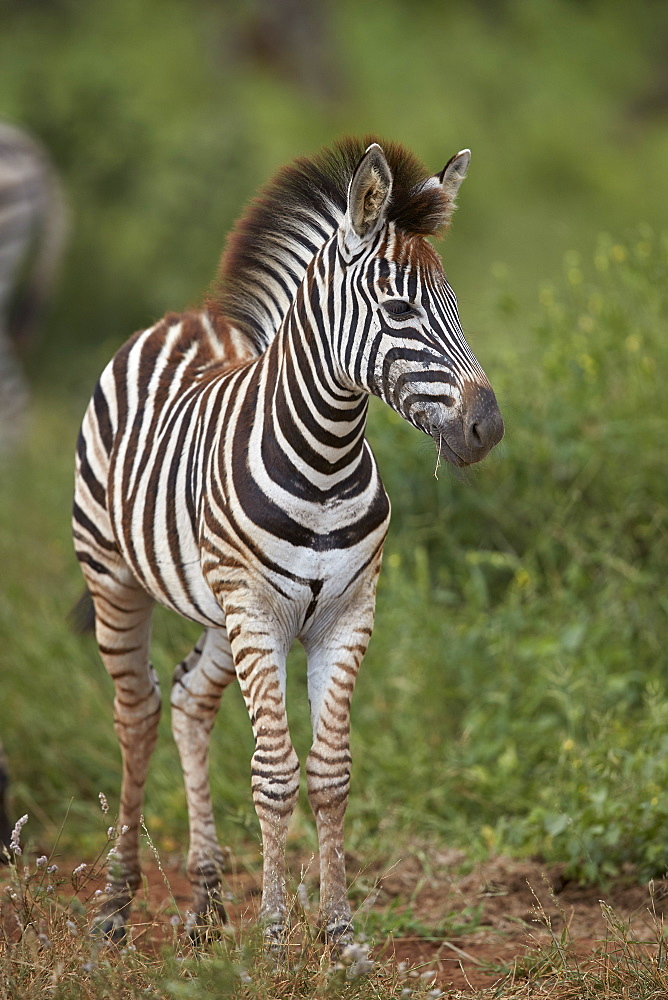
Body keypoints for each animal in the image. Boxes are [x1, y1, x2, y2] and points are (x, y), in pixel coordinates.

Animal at [72, 135, 500, 944]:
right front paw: (274, 935)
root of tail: (185, 317)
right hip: (118, 577)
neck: (325, 460)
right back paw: (114, 906)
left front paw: (339, 933)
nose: (486, 429)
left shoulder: (347, 613)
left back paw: (207, 903)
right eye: (399, 307)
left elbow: (330, 774)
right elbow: (274, 774)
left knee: (187, 701)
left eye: (457, 304)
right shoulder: (256, 610)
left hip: (219, 613)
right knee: (136, 715)